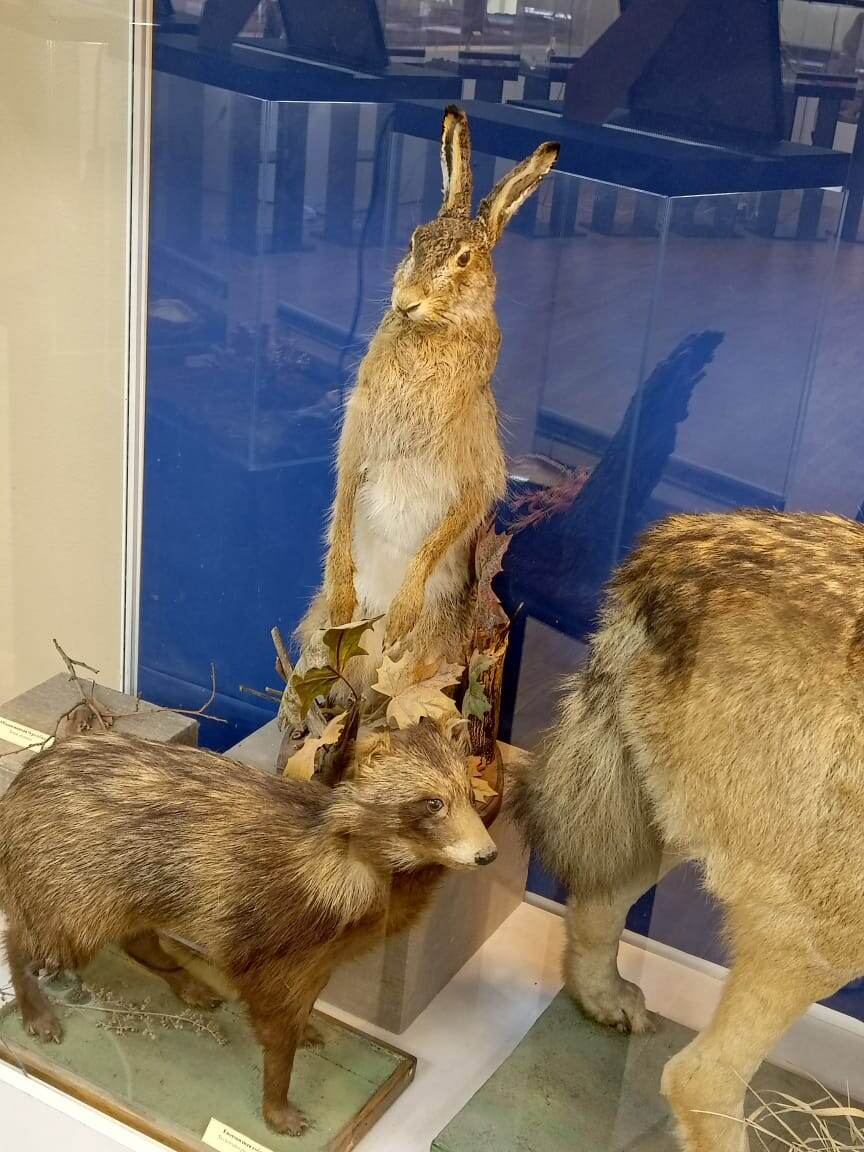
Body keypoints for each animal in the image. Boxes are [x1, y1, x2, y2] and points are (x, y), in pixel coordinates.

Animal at [298, 105, 559, 689]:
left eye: (463, 259)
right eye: (415, 240)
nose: (406, 300)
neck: (432, 332)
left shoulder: (478, 472)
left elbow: (451, 526)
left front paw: (402, 613)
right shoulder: (357, 441)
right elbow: (341, 503)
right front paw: (343, 592)